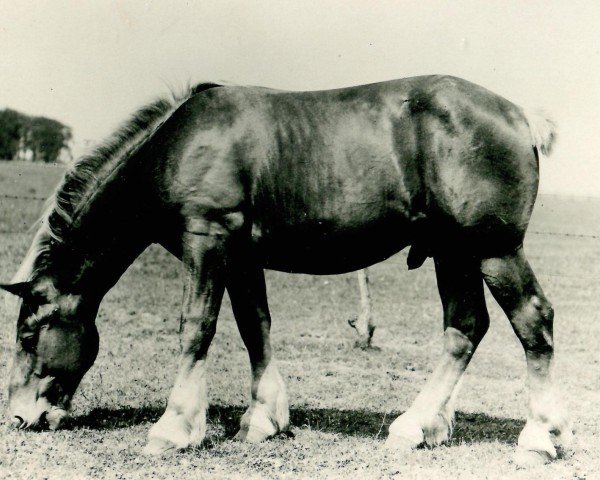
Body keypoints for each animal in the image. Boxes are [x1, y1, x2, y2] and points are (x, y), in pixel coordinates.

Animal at [1, 75, 572, 464]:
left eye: (28, 334)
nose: (19, 416)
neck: (178, 145)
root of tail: (521, 116)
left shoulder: (207, 241)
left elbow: (196, 329)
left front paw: (174, 427)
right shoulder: (240, 258)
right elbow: (255, 328)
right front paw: (263, 419)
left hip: (493, 249)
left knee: (532, 320)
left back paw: (541, 437)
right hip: (453, 253)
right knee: (464, 329)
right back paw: (418, 426)